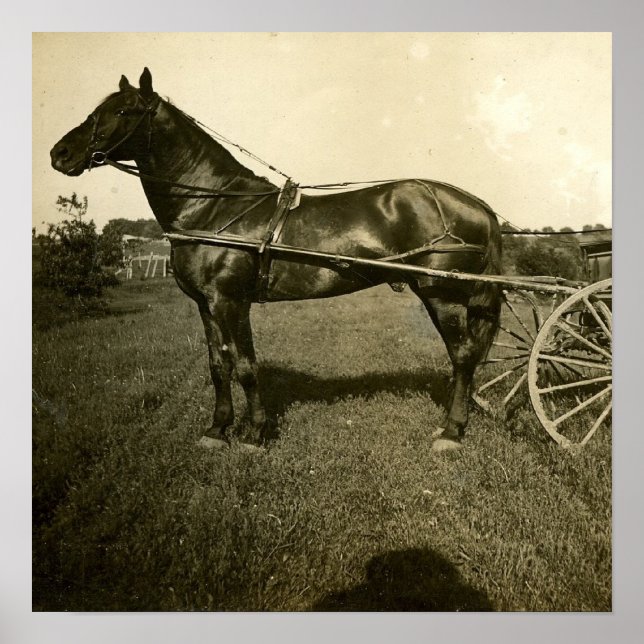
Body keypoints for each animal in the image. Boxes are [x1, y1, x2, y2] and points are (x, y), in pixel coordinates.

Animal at [50, 68, 502, 452]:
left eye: (122, 111)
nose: (61, 153)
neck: (215, 206)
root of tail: (477, 203)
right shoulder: (205, 304)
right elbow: (218, 365)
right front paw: (217, 430)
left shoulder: (230, 300)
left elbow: (247, 365)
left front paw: (255, 434)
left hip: (441, 294)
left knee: (463, 355)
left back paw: (451, 432)